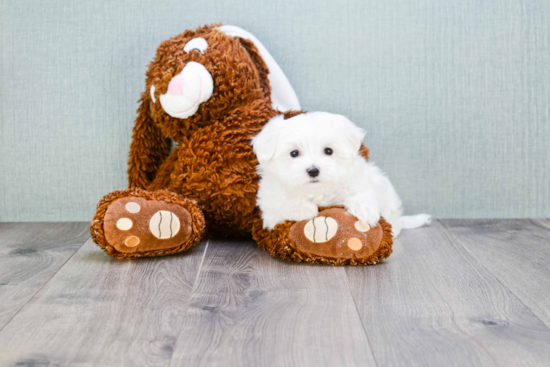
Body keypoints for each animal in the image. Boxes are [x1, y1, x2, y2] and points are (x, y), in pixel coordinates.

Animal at [252, 113, 434, 239]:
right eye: (294, 153)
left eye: (328, 151)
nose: (313, 170)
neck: (318, 191)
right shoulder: (269, 208)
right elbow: (281, 205)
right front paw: (302, 208)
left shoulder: (359, 179)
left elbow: (361, 192)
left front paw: (365, 210)